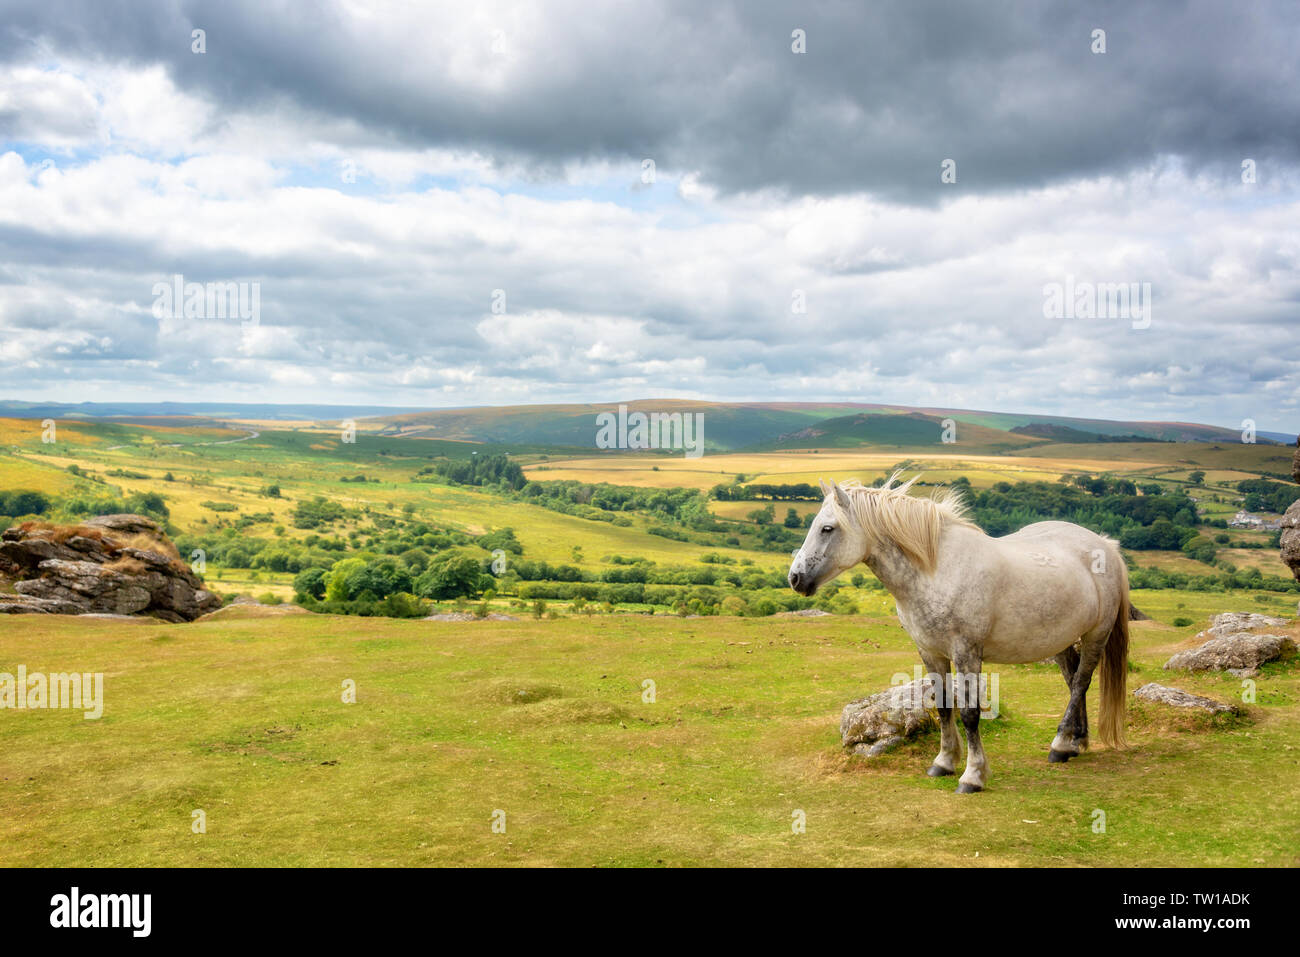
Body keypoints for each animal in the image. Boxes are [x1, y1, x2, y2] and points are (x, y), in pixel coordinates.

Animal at [787, 473, 1129, 793]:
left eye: (827, 528)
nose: (795, 578)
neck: (936, 570)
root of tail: (1106, 546)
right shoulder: (930, 652)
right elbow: (942, 705)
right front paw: (943, 762)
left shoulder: (966, 652)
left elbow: (969, 713)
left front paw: (973, 775)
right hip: (1061, 640)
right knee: (1073, 682)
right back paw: (1075, 742)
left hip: (1096, 635)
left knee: (1081, 682)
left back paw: (1059, 745)